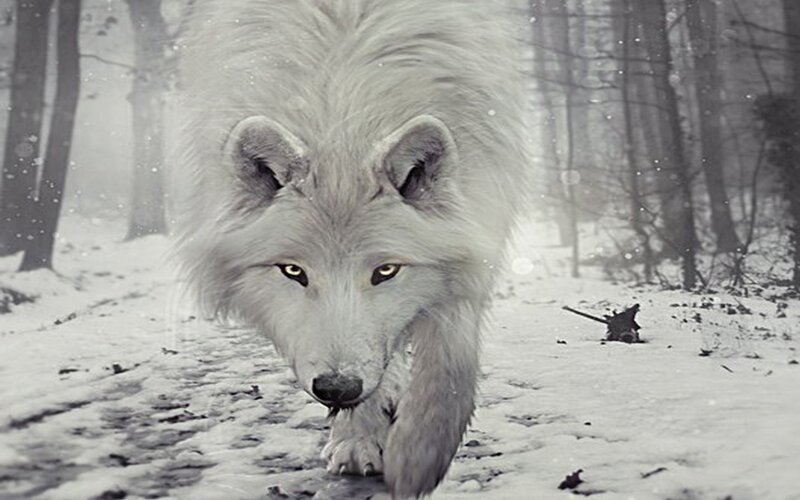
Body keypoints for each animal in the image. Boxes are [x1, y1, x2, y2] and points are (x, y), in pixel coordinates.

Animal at [175, 0, 529, 497]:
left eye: (385, 271)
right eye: (292, 272)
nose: (337, 388)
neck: (342, 113)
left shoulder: (479, 221)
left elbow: (450, 358)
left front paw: (418, 456)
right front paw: (360, 439)